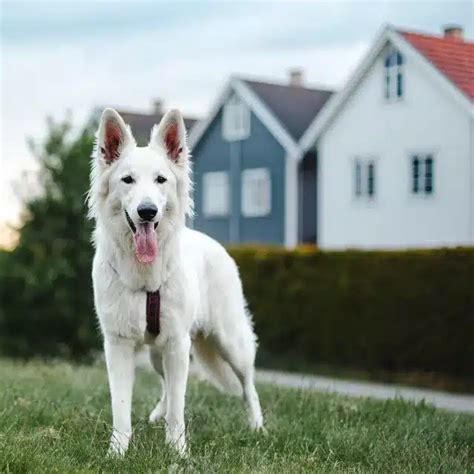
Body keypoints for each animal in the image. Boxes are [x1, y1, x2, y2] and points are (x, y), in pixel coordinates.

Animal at [88, 107, 262, 456]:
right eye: (127, 180)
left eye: (161, 179)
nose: (147, 211)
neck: (145, 276)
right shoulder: (119, 345)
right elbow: (121, 406)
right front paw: (117, 452)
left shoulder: (177, 344)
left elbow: (179, 408)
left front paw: (178, 452)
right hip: (158, 354)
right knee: (167, 384)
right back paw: (157, 413)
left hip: (230, 342)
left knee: (248, 385)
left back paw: (257, 426)